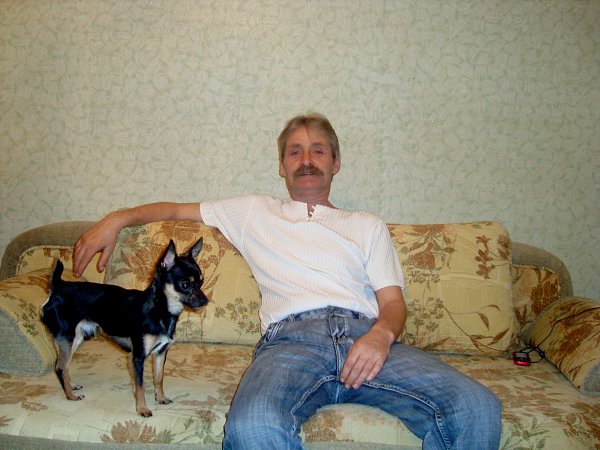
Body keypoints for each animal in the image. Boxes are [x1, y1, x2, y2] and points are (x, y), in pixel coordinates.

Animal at [41, 238, 208, 417]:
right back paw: (71, 396)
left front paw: (161, 398)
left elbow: (158, 378)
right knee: (60, 367)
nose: (205, 301)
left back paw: (71, 387)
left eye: (201, 282)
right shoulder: (138, 357)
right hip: (67, 337)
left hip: (75, 338)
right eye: (185, 285)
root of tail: (58, 286)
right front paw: (142, 409)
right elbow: (140, 386)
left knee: (63, 365)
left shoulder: (160, 353)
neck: (159, 310)